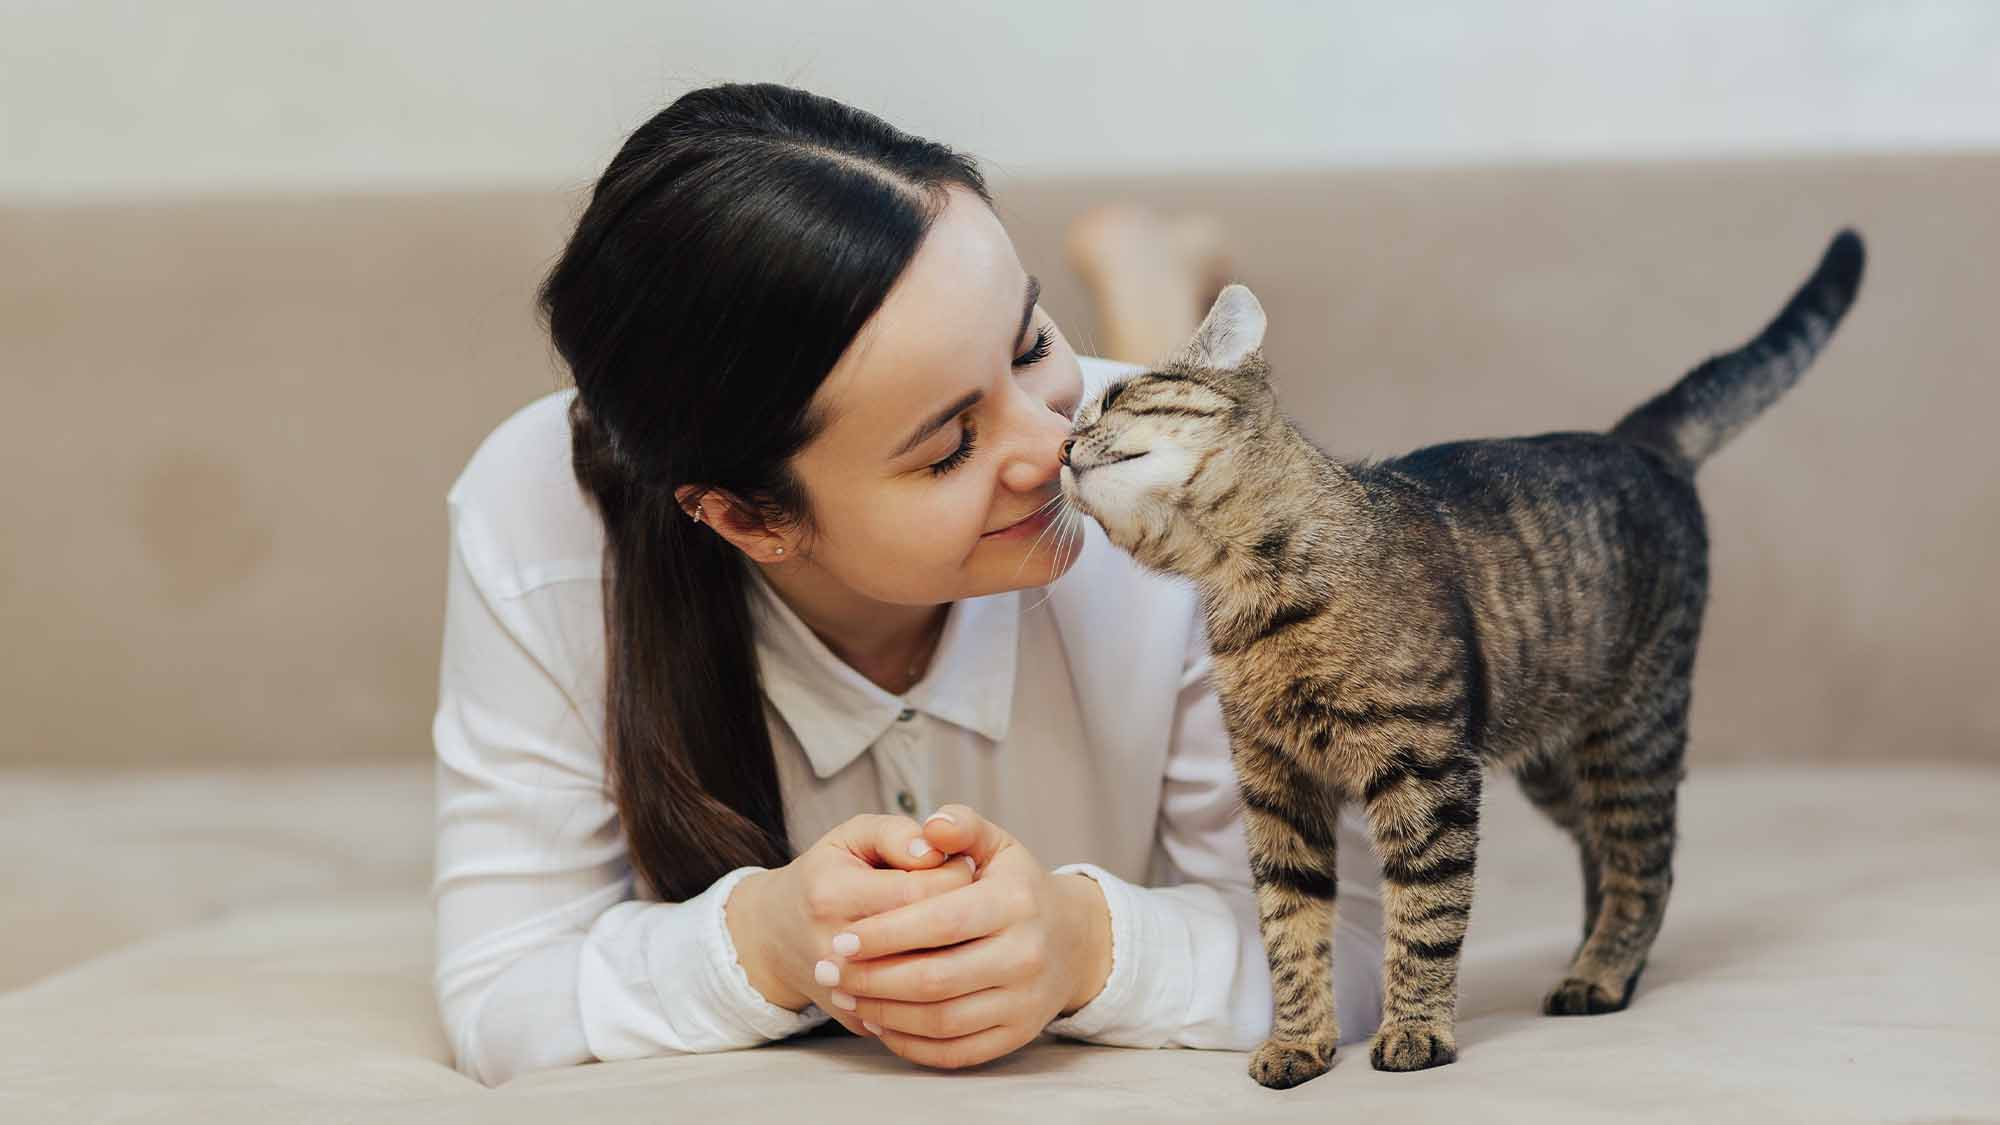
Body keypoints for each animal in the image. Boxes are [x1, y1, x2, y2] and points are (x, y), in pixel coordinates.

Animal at [1056, 230, 1864, 1088]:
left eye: (1114, 398)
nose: (1062, 443)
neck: (1254, 590)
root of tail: (1633, 439)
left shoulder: (1427, 774)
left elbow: (1425, 911)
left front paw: (1416, 1029)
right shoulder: (1276, 788)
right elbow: (1289, 927)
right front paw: (1301, 1041)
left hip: (1630, 732)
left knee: (1649, 861)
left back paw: (1599, 972)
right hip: (1552, 756)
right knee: (1602, 850)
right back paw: (1594, 956)